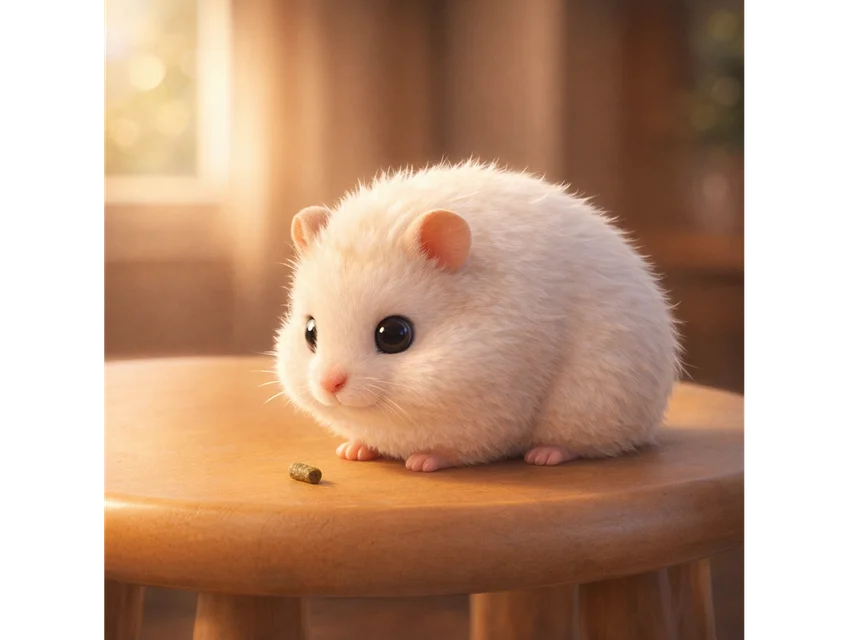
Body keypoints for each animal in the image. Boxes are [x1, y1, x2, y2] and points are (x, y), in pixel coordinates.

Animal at [274, 160, 681, 473]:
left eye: (394, 334)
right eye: (310, 331)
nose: (329, 385)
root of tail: (652, 421)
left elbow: (454, 451)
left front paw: (422, 462)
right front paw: (353, 451)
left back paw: (544, 455)